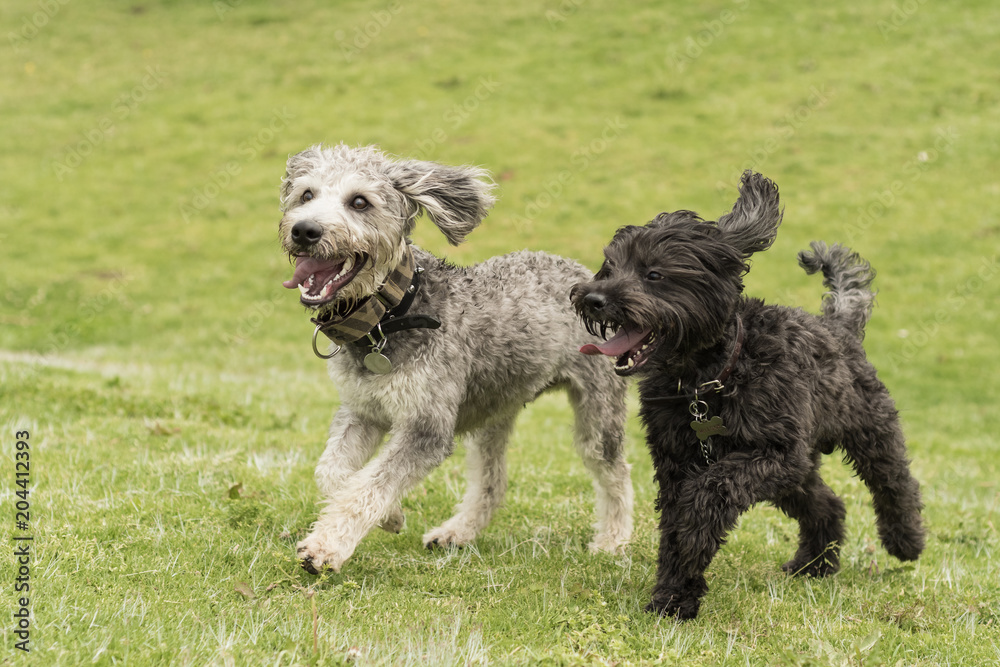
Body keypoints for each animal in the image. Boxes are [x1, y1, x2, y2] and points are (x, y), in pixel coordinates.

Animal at [276, 144, 632, 572]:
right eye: (306, 194)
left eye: (359, 202)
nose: (304, 230)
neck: (392, 315)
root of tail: (585, 279)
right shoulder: (362, 410)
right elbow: (333, 471)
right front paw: (390, 515)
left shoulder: (426, 427)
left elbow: (372, 485)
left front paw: (325, 546)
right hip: (493, 413)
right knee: (492, 483)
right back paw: (456, 532)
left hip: (598, 412)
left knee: (616, 474)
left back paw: (613, 541)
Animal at [568, 174, 924, 620]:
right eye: (610, 267)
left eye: (653, 273)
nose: (592, 298)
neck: (708, 380)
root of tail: (839, 325)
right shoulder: (678, 462)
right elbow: (677, 525)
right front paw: (674, 596)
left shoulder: (773, 454)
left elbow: (708, 493)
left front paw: (690, 546)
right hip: (797, 472)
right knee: (828, 504)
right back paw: (813, 565)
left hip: (866, 430)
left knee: (896, 481)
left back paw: (905, 540)